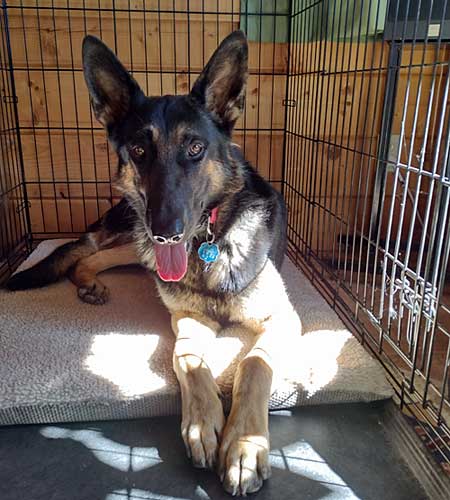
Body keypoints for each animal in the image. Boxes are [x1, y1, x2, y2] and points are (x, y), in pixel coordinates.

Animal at [7, 31, 300, 496]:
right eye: (139, 149)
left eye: (195, 148)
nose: (167, 231)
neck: (209, 242)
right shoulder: (187, 317)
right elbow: (188, 358)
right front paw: (203, 424)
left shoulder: (282, 319)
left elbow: (255, 363)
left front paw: (244, 446)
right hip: (138, 240)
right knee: (89, 252)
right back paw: (89, 282)